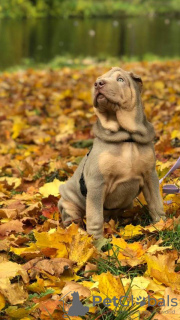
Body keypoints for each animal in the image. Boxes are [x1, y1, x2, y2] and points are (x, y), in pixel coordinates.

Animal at [58, 67, 166, 238]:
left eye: (120, 80)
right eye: (97, 80)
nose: (98, 84)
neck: (126, 137)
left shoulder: (150, 175)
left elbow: (156, 202)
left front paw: (163, 224)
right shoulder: (97, 182)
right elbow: (95, 217)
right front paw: (97, 241)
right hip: (68, 202)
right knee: (73, 218)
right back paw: (76, 230)